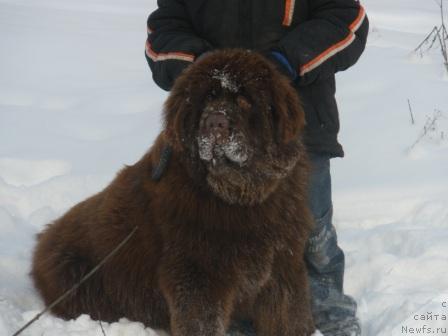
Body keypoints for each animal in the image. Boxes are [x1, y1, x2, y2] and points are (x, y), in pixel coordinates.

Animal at [31, 48, 316, 334]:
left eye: (244, 100)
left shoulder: (282, 267)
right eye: (207, 98)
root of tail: (42, 239)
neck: (240, 197)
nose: (215, 122)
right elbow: (201, 321)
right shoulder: (197, 274)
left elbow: (288, 315)